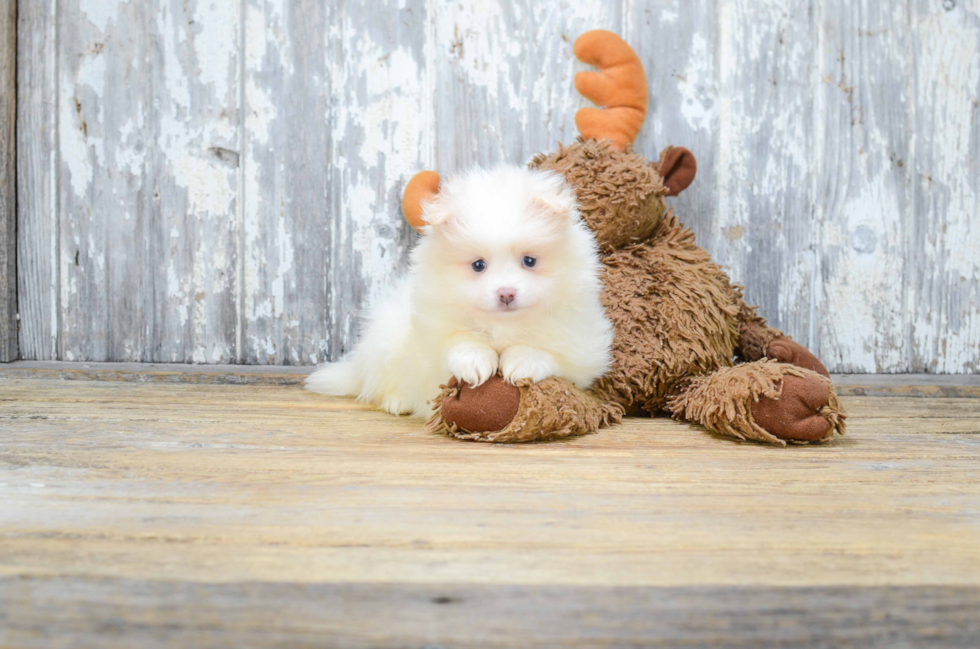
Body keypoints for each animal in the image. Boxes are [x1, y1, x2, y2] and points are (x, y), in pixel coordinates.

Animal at [306, 166, 612, 416]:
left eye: (529, 261)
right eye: (478, 265)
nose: (506, 293)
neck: (503, 327)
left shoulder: (584, 349)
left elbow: (549, 354)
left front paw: (522, 361)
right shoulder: (429, 340)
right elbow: (458, 340)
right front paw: (475, 362)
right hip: (386, 342)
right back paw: (398, 402)